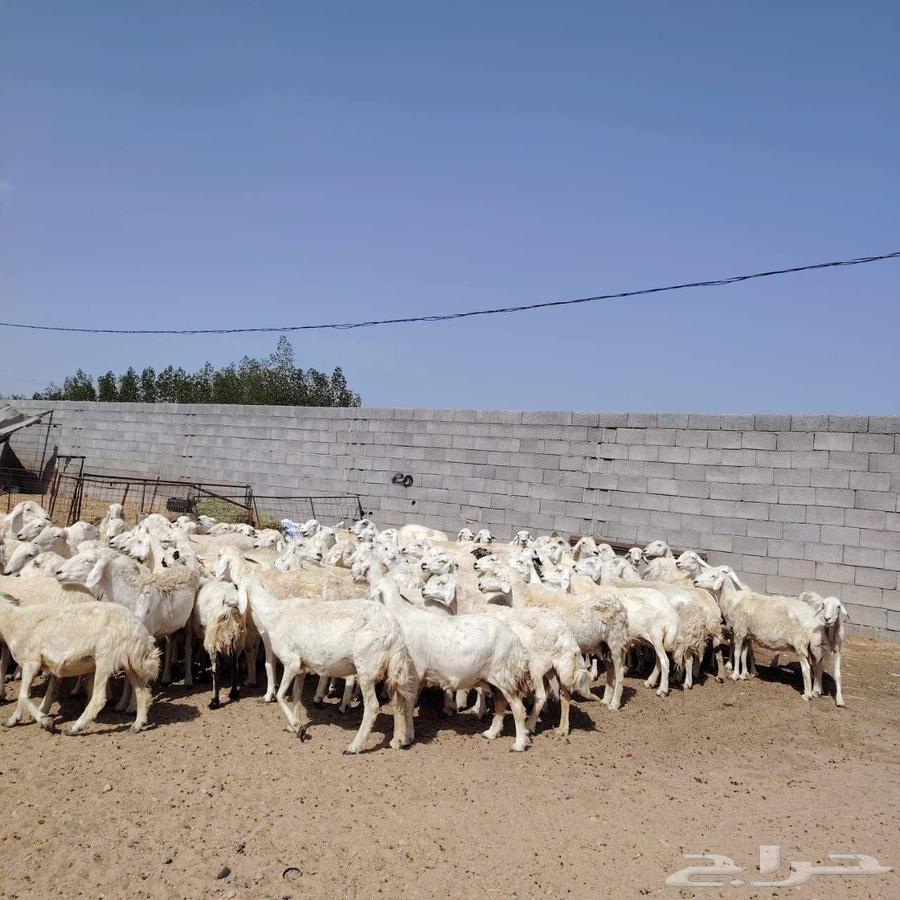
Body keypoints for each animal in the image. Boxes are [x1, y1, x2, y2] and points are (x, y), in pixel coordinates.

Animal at [0, 595, 159, 734]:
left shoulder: (31, 662)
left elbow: (23, 695)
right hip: (129, 661)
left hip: (106, 657)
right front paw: (13, 719)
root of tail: (138, 629)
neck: (12, 622)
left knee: (99, 697)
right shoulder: (46, 666)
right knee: (142, 692)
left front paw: (46, 721)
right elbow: (41, 693)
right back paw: (137, 725)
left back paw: (75, 728)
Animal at [237, 574, 414, 753]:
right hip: (391, 669)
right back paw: (397, 741)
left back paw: (354, 746)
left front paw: (296, 726)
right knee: (397, 703)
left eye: (236, 586)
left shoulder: (291, 662)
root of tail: (394, 630)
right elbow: (296, 695)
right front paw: (296, 726)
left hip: (367, 667)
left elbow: (280, 696)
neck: (272, 614)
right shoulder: (301, 668)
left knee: (372, 706)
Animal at [371, 579, 532, 751]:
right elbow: (409, 705)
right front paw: (407, 736)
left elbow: (407, 707)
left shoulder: (413, 674)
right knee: (500, 703)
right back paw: (491, 733)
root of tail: (515, 639)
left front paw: (404, 738)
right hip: (495, 678)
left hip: (503, 674)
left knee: (518, 709)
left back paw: (519, 744)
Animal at [693, 568, 827, 700]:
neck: (731, 601)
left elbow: (737, 654)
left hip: (800, 644)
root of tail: (815, 619)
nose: (695, 581)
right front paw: (744, 674)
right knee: (817, 666)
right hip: (813, 646)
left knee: (807, 668)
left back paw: (807, 694)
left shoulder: (740, 631)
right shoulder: (747, 634)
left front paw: (735, 675)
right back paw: (816, 691)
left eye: (713, 576)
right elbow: (744, 654)